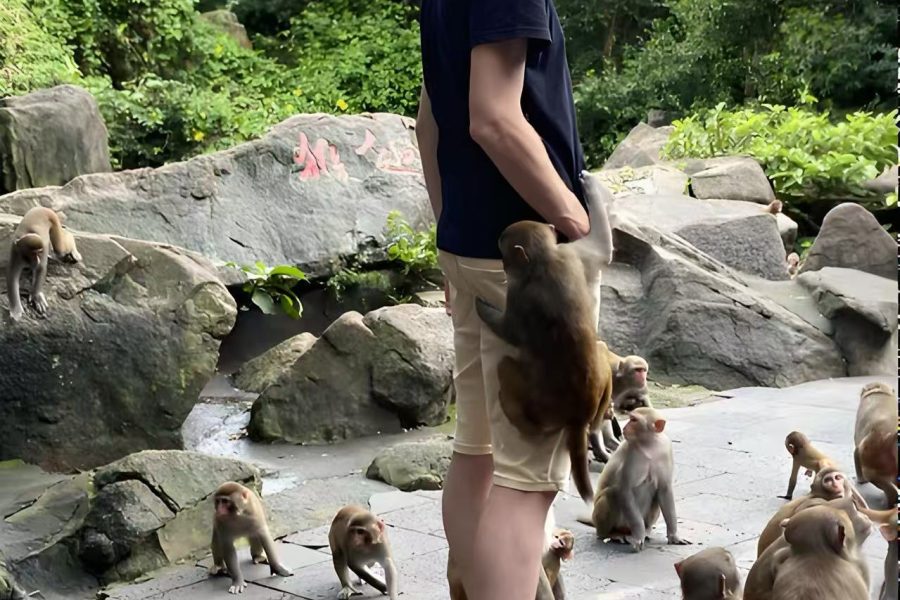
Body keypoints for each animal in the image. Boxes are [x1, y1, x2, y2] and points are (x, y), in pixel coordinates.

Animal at [474, 219, 609, 502]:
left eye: (504, 255)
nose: (503, 265)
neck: (546, 260)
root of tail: (579, 415)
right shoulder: (570, 254)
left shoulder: (518, 291)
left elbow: (509, 332)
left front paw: (482, 306)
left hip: (541, 405)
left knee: (505, 365)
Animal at [579, 407, 690, 551]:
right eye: (630, 418)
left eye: (634, 420)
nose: (625, 427)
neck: (650, 445)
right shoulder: (631, 453)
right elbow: (624, 490)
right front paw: (639, 536)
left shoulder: (666, 450)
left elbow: (664, 489)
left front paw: (674, 536)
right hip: (610, 521)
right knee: (611, 494)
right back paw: (611, 534)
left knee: (656, 496)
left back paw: (647, 530)